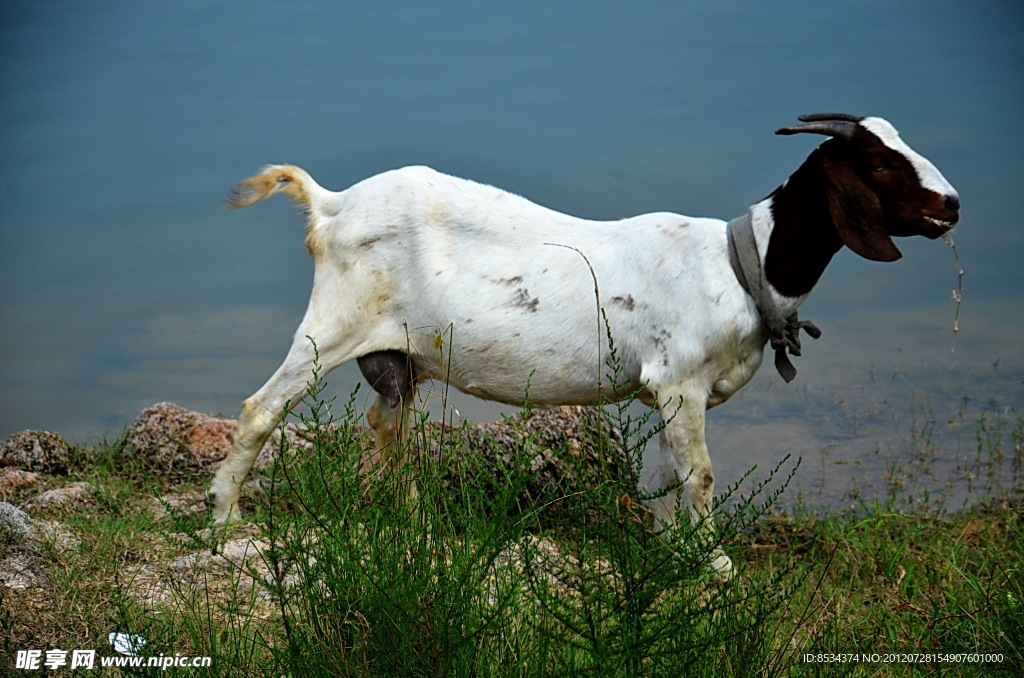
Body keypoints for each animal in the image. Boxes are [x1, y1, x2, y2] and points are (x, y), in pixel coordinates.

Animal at [207, 114, 958, 581]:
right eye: (880, 166)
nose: (950, 205)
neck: (743, 266)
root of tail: (330, 206)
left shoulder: (663, 392)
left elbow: (664, 479)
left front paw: (670, 553)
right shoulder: (680, 382)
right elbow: (700, 477)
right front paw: (715, 565)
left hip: (397, 356)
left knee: (386, 429)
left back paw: (414, 526)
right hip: (332, 324)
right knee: (260, 409)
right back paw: (224, 520)